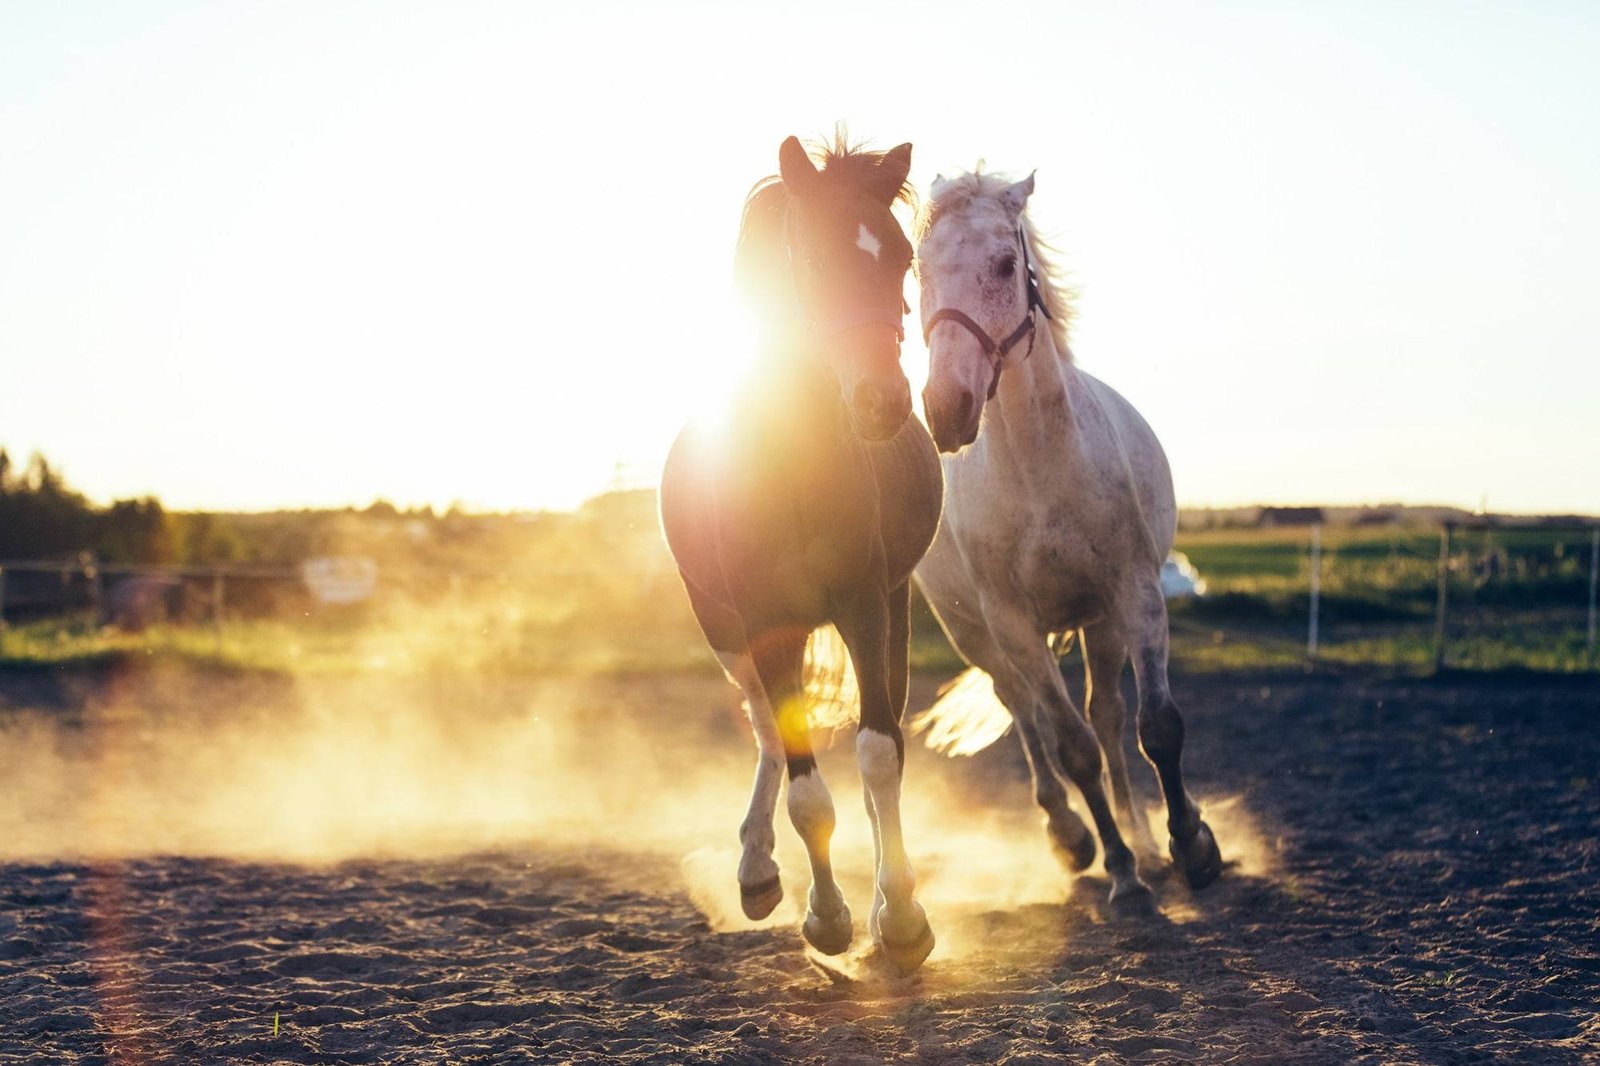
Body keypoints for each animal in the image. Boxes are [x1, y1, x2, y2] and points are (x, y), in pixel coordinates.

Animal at [658, 134, 944, 971]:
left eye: (900, 257)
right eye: (814, 260)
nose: (884, 402)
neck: (794, 464)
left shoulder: (865, 601)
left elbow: (879, 754)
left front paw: (900, 918)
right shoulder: (764, 622)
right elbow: (805, 789)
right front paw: (825, 917)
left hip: (894, 609)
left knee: (883, 742)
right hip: (721, 628)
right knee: (763, 730)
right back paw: (756, 870)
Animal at [910, 168, 1223, 911]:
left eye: (1004, 263)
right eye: (919, 269)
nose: (946, 409)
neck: (1040, 467)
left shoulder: (1134, 595)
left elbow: (1155, 726)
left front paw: (1190, 846)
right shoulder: (1014, 625)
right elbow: (1072, 746)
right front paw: (1120, 873)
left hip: (1099, 624)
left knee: (1107, 715)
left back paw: (1145, 840)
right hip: (977, 635)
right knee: (1026, 713)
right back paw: (1073, 838)